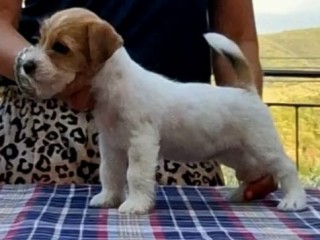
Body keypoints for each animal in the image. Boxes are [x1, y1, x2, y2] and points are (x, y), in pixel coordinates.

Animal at [15, 8, 308, 215]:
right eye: (40, 39)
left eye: (60, 47)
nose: (26, 65)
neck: (114, 86)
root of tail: (246, 90)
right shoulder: (111, 145)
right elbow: (109, 173)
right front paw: (108, 198)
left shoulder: (140, 144)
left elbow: (134, 175)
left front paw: (135, 205)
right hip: (237, 154)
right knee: (251, 172)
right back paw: (240, 195)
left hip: (262, 146)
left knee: (286, 168)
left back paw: (294, 200)